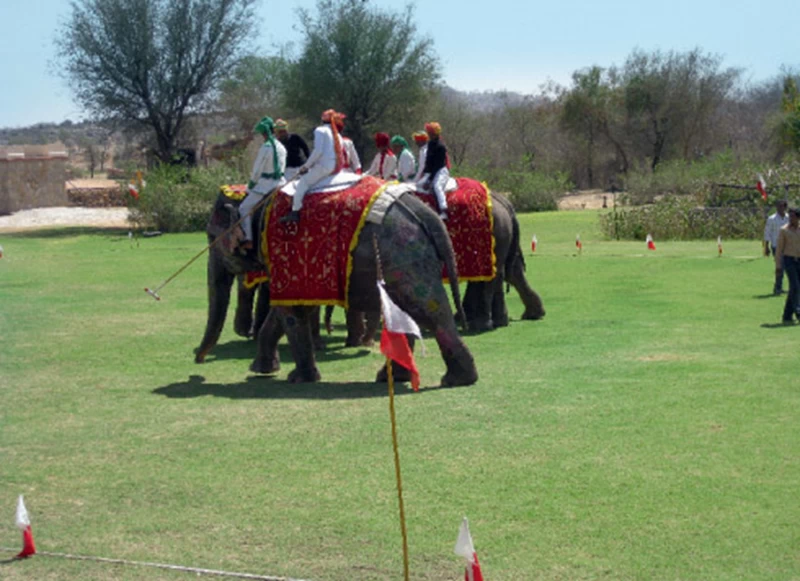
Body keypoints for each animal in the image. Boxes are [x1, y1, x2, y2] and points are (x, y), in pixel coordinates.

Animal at [205, 177, 476, 386]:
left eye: (210, 236)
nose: (198, 357)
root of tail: (427, 214)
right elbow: (295, 306)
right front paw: (262, 370)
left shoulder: (282, 254)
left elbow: (289, 310)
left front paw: (297, 379)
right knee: (411, 312)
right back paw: (395, 378)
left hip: (404, 256)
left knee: (428, 310)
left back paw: (454, 380)